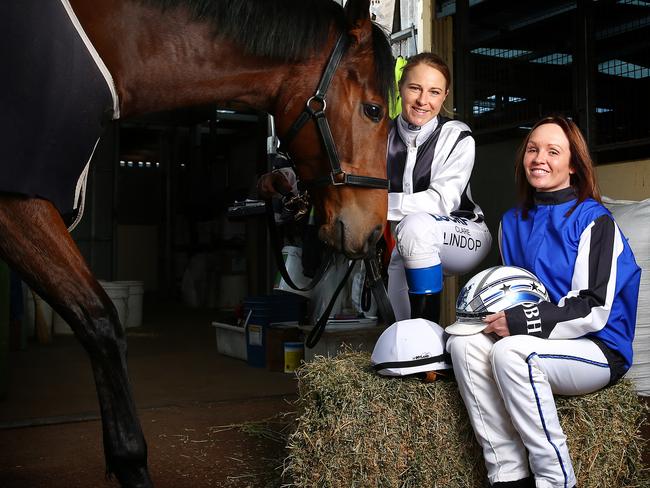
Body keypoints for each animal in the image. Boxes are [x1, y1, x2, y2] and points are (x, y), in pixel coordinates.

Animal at [1, 0, 390, 486]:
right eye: (374, 110)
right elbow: (101, 321)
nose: (373, 232)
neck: (112, 43)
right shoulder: (22, 201)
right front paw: (130, 463)